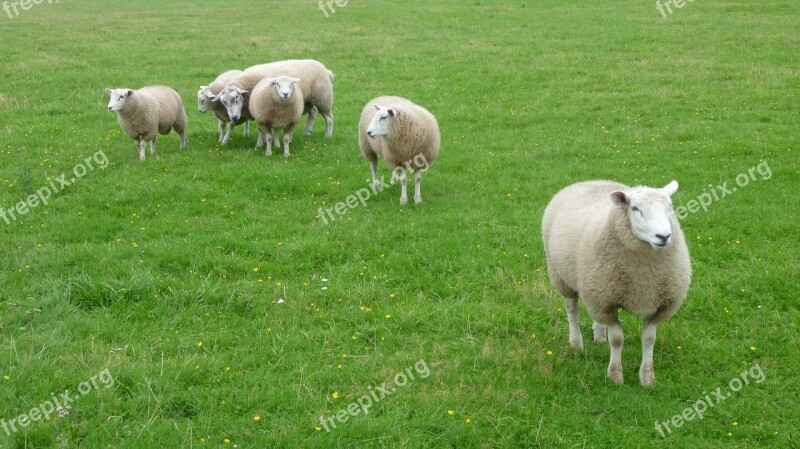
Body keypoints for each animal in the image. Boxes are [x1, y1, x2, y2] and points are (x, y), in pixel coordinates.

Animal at [540, 180, 692, 386]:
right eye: (635, 208)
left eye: (669, 208)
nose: (663, 236)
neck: (644, 276)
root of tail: (589, 181)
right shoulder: (607, 302)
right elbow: (617, 340)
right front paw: (615, 375)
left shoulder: (659, 305)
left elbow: (649, 339)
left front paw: (647, 377)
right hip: (563, 278)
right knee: (572, 310)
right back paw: (576, 342)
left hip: (597, 289)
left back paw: (599, 337)